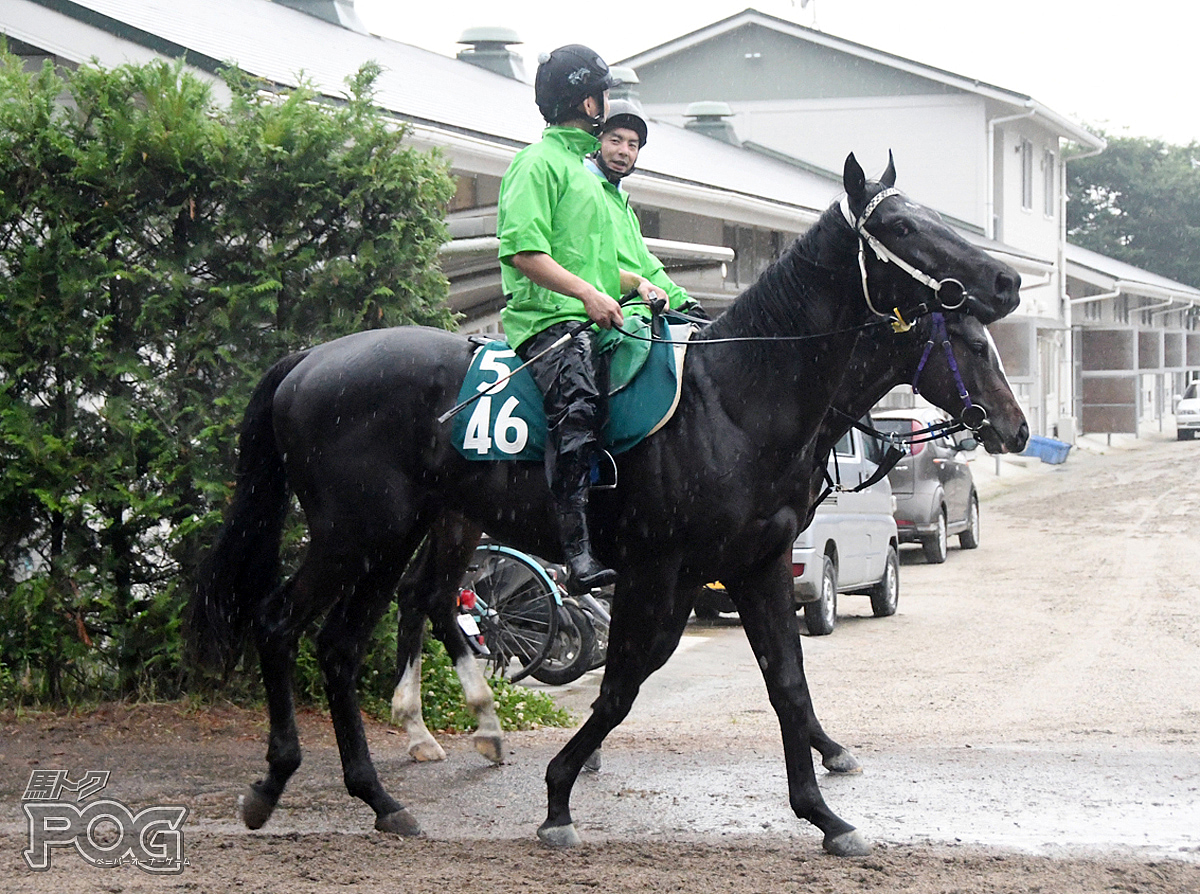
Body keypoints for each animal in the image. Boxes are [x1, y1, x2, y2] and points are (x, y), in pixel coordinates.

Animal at [189, 154, 1032, 859]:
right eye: (902, 227)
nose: (1005, 283)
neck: (736, 398)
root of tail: (310, 359)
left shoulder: (752, 564)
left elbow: (786, 684)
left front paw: (824, 814)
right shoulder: (659, 570)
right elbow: (626, 679)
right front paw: (560, 792)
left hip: (393, 535)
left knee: (351, 638)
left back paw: (386, 793)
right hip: (355, 534)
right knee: (285, 623)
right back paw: (280, 780)